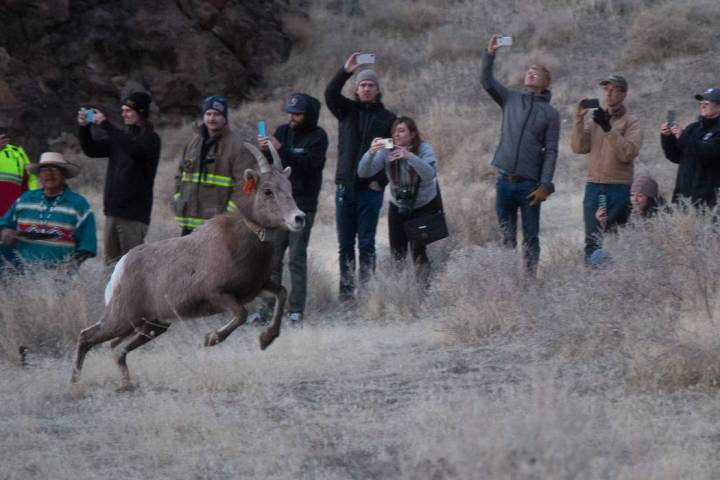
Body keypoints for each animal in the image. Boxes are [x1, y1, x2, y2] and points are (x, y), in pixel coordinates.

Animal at [69, 142, 300, 386]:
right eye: (267, 191)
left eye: (289, 188)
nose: (299, 218)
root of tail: (121, 266)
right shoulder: (218, 294)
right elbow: (241, 315)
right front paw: (211, 339)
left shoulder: (259, 287)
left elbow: (282, 293)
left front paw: (266, 340)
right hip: (123, 320)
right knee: (87, 337)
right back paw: (75, 384)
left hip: (151, 325)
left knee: (116, 348)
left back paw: (126, 385)